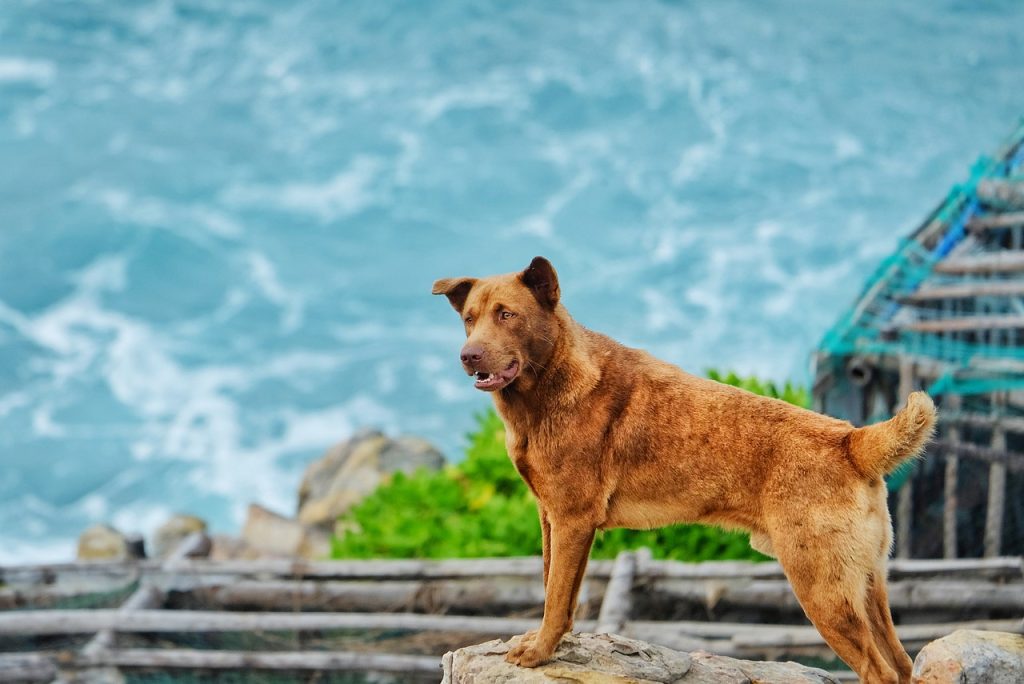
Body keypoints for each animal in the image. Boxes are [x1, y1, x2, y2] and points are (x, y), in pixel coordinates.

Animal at [432, 258, 937, 684]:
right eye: (469, 318)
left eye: (507, 315)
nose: (467, 355)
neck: (552, 384)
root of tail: (852, 441)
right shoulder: (551, 516)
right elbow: (553, 585)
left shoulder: (573, 518)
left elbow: (556, 596)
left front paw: (538, 653)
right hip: (866, 584)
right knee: (902, 663)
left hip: (821, 587)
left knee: (879, 671)